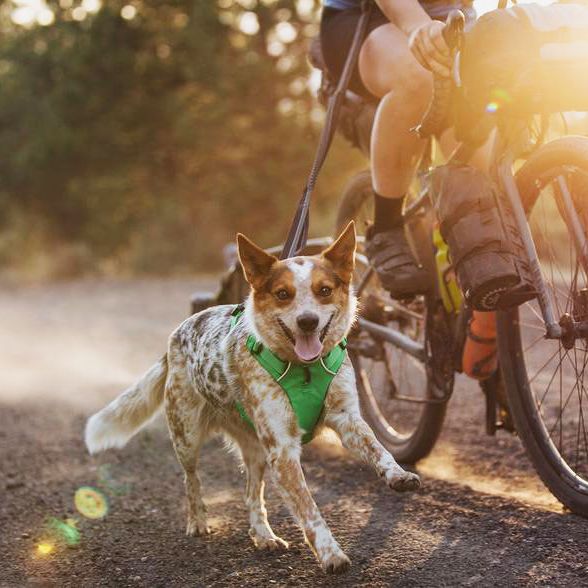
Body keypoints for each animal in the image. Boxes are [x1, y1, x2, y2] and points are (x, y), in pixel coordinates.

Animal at [85, 222, 420, 576]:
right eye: (283, 294)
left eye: (324, 290)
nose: (308, 321)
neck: (304, 368)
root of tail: (177, 334)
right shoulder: (283, 450)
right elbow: (309, 509)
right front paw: (330, 553)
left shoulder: (347, 419)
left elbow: (378, 448)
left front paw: (397, 474)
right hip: (187, 437)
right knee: (192, 481)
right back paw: (198, 521)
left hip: (257, 451)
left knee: (251, 495)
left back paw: (263, 535)